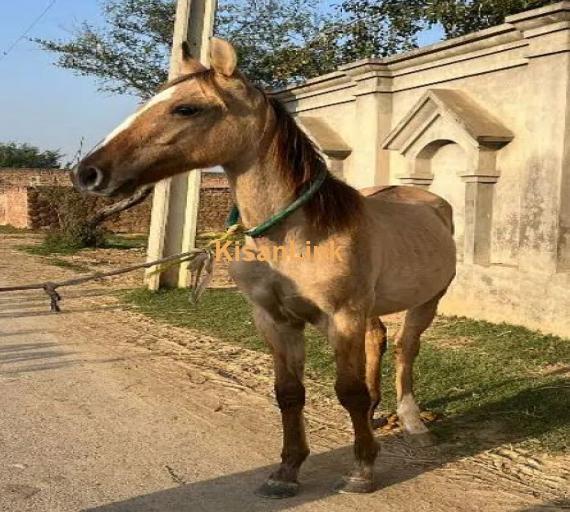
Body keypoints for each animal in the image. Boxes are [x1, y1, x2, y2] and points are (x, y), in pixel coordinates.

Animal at [74, 38, 452, 498]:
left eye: (186, 108)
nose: (87, 173)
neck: (295, 235)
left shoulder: (342, 317)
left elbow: (348, 391)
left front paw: (362, 469)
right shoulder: (275, 320)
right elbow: (289, 393)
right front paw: (286, 470)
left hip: (426, 302)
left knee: (404, 349)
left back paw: (413, 422)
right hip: (373, 309)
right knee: (378, 341)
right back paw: (378, 413)